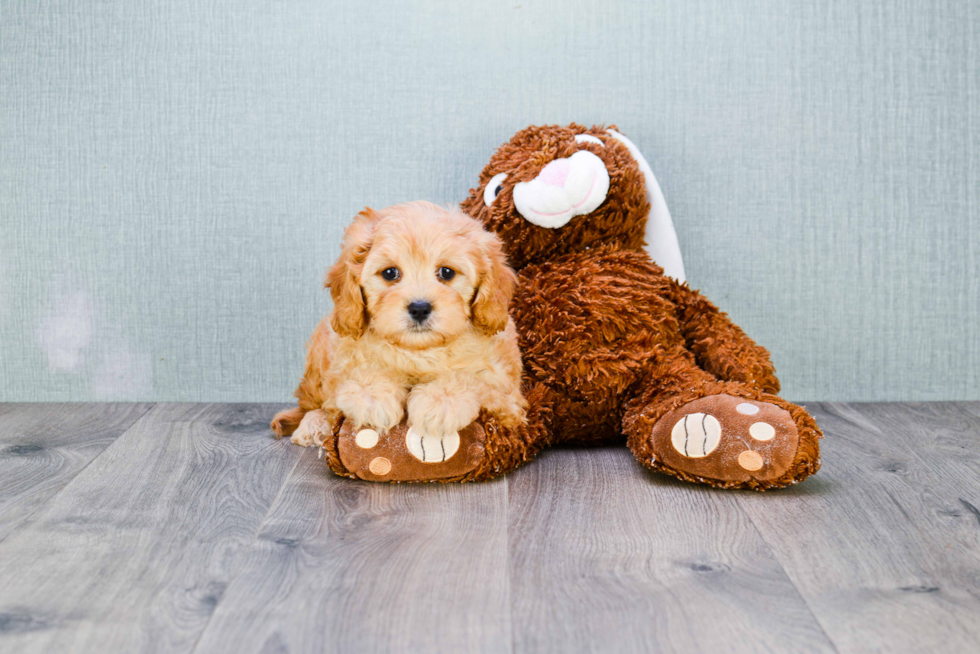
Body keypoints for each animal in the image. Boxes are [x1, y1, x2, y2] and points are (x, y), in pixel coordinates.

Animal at [268, 201, 528, 452]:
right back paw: (313, 425)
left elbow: (472, 380)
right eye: (390, 273)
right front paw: (371, 395)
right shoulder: (344, 358)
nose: (420, 308)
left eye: (447, 272)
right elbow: (358, 373)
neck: (419, 351)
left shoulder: (508, 396)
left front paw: (440, 401)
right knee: (314, 403)